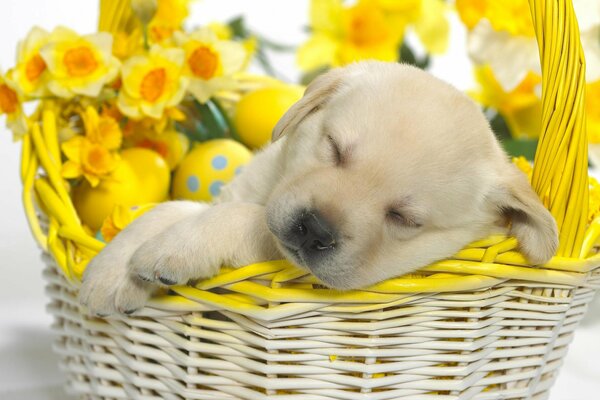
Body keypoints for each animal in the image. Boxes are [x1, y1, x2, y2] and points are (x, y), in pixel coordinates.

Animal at [79, 61, 556, 316]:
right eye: (334, 148)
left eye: (404, 218)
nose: (315, 230)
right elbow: (169, 209)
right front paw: (111, 272)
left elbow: (243, 220)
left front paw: (174, 249)